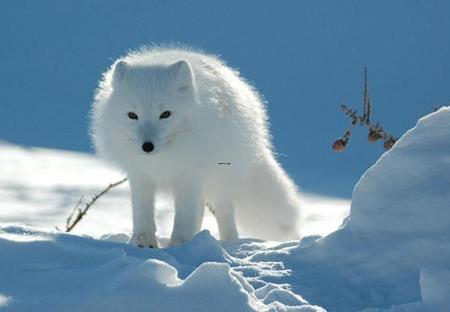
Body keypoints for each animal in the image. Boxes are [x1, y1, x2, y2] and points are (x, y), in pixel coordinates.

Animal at [91, 47, 302, 246]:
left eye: (165, 114)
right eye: (132, 115)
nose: (147, 147)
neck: (162, 159)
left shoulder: (189, 174)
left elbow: (184, 216)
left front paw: (180, 245)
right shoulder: (140, 175)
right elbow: (142, 212)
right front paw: (143, 243)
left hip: (220, 178)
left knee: (224, 211)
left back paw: (228, 242)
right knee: (200, 209)